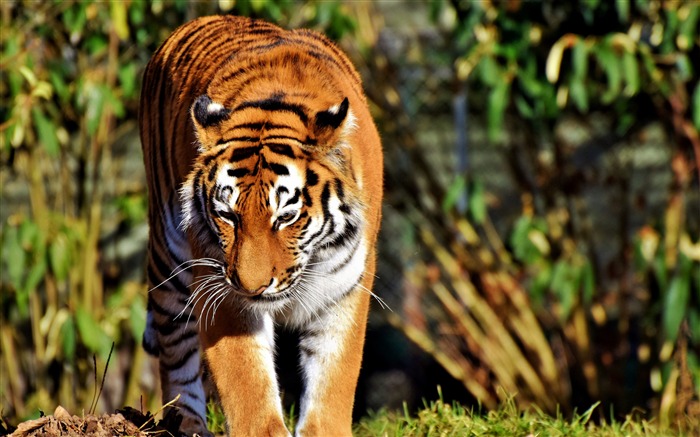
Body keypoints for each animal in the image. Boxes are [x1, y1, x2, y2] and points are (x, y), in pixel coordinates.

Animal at [138, 15, 382, 434]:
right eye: (227, 214)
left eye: (285, 216)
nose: (251, 286)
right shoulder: (222, 289)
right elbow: (248, 387)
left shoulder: (345, 289)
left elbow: (334, 378)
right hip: (169, 259)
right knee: (175, 350)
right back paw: (187, 423)